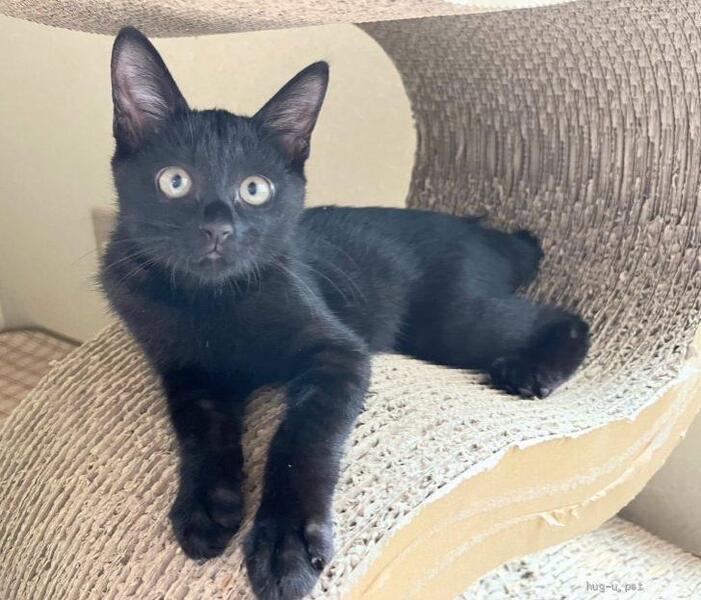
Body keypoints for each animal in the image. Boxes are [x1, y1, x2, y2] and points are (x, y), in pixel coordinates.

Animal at [101, 26, 590, 600]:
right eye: (174, 181)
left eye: (255, 189)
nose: (218, 229)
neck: (210, 300)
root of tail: (484, 233)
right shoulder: (187, 371)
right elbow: (200, 431)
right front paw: (205, 507)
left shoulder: (338, 352)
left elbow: (302, 440)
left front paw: (285, 546)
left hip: (452, 322)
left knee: (564, 318)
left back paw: (532, 370)